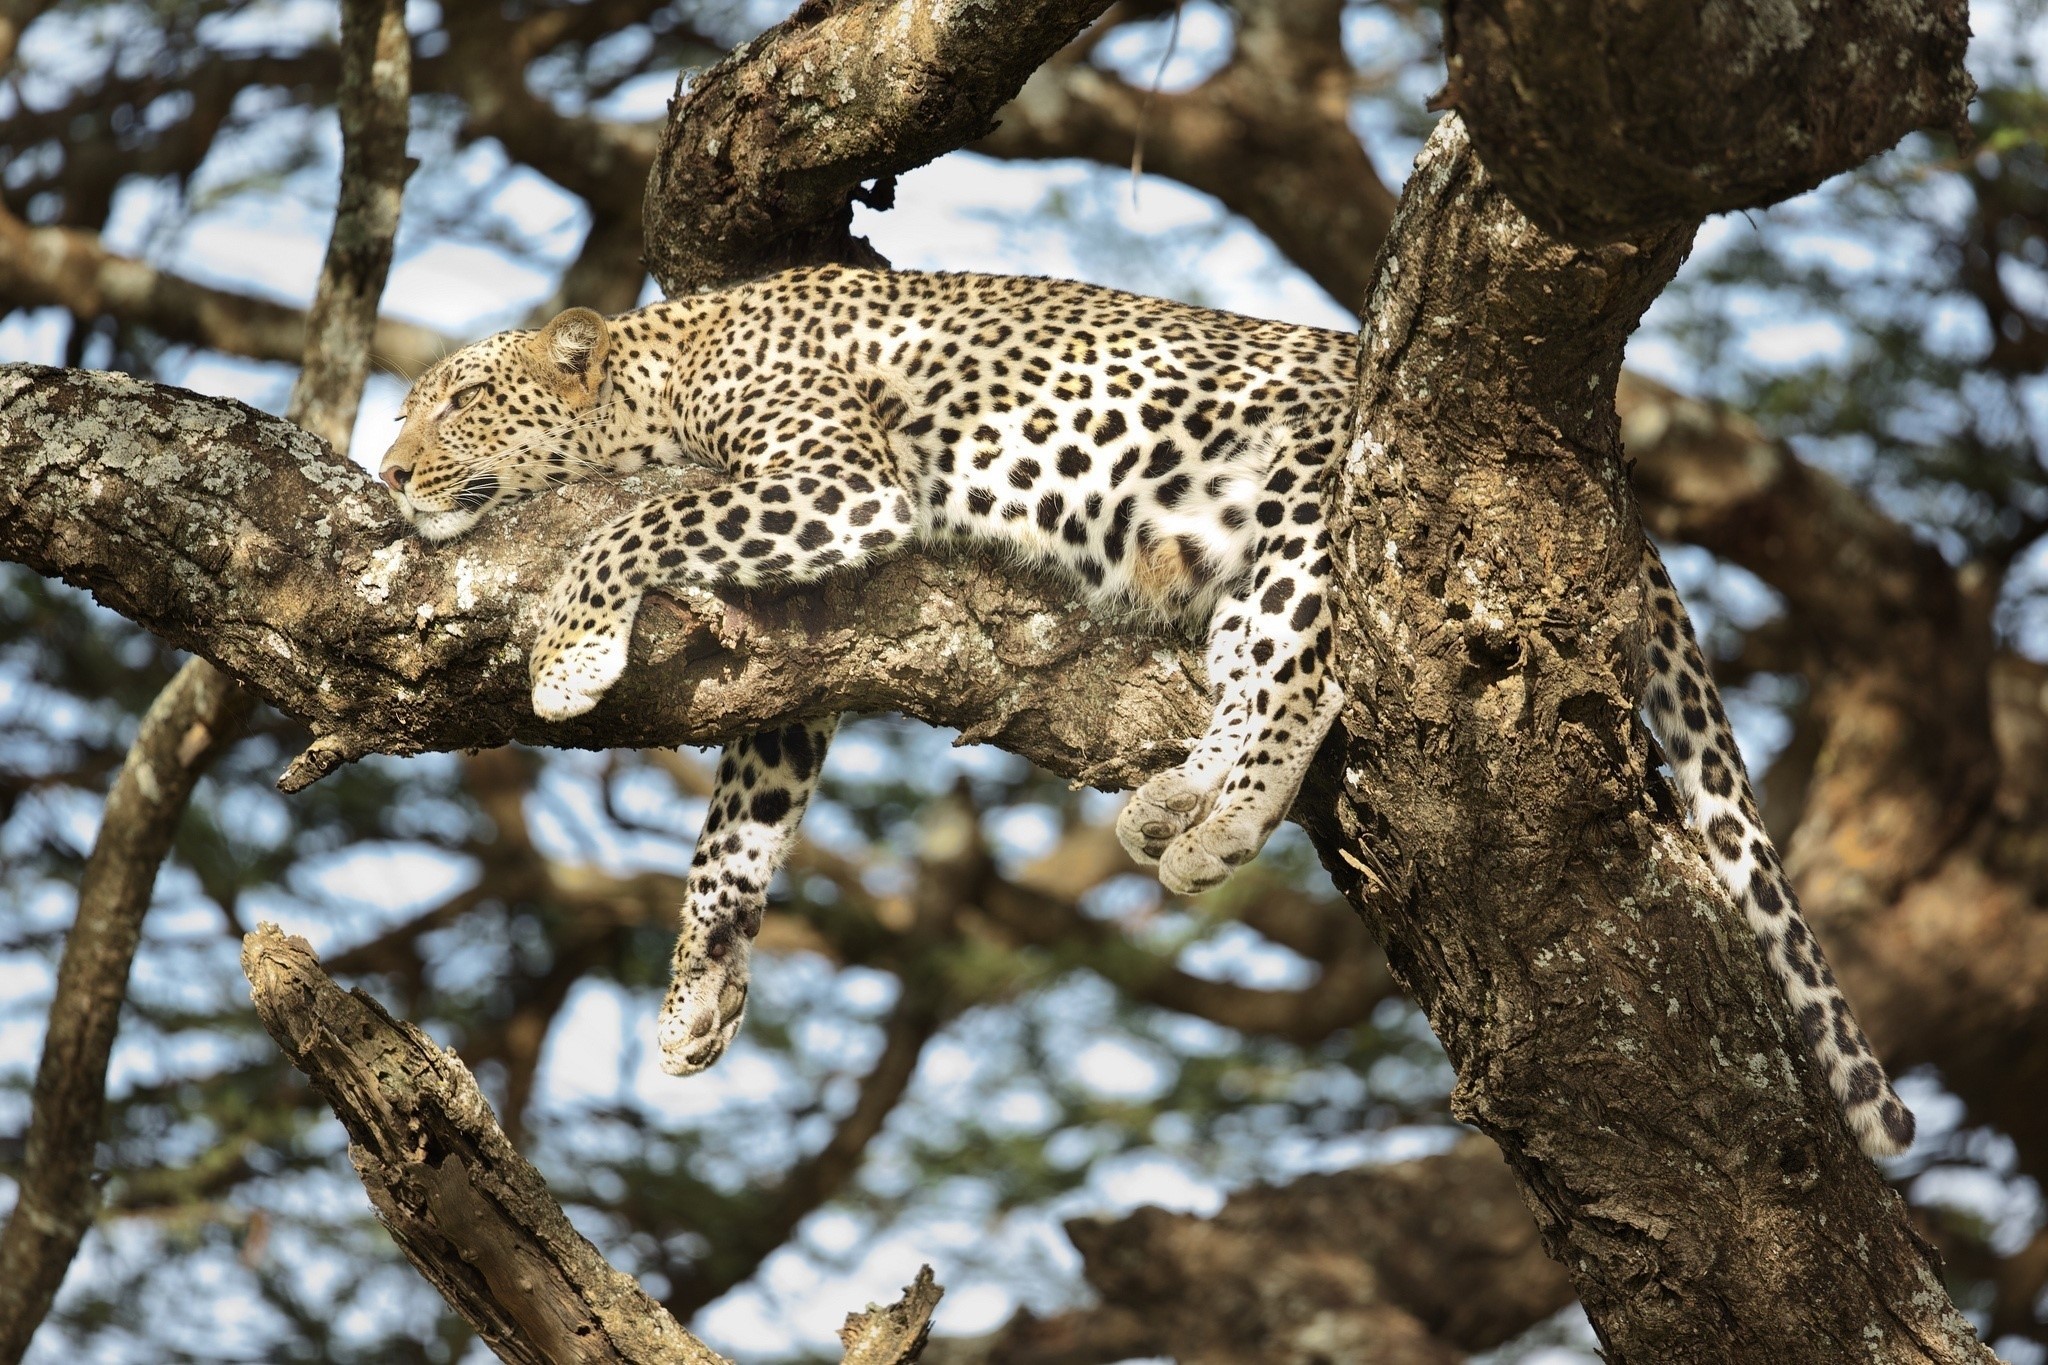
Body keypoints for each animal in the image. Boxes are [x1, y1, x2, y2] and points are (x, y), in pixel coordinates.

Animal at [377, 264, 1914, 1160]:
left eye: (457, 400)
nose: (388, 473)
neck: (657, 378)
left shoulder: (835, 481)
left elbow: (625, 528)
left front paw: (571, 649)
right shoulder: (814, 629)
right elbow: (743, 817)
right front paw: (699, 986)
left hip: (1306, 499)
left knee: (1307, 667)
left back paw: (1208, 816)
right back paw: (1188, 794)